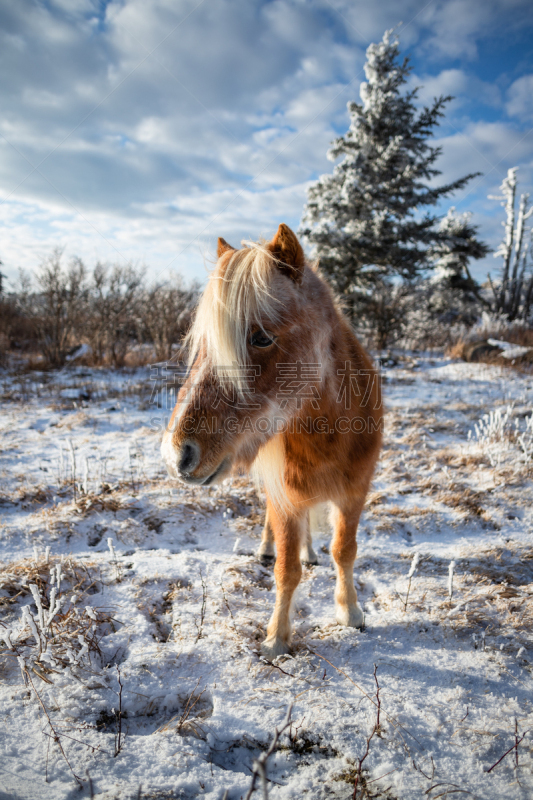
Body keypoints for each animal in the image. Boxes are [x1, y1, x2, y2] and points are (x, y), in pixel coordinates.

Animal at [160, 222, 380, 652]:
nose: (178, 455)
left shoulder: (354, 492)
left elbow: (344, 551)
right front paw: (277, 637)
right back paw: (265, 549)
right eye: (204, 343)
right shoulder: (285, 499)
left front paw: (350, 613)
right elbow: (286, 569)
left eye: (262, 337)